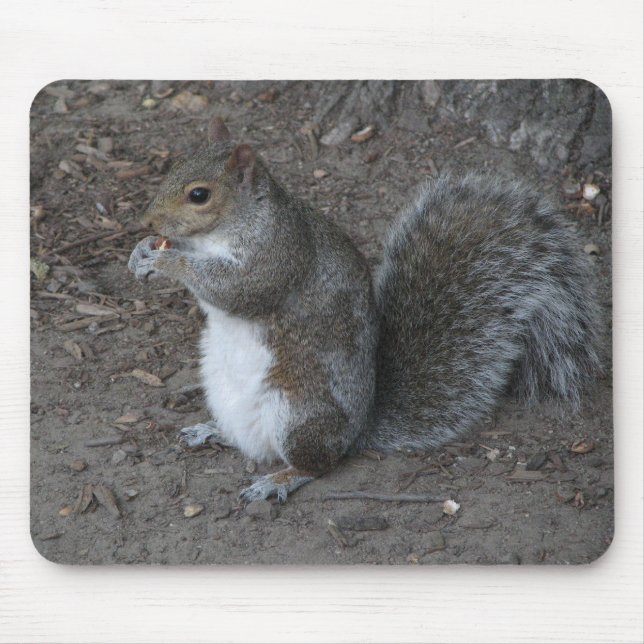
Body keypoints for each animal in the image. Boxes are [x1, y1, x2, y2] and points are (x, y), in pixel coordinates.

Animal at [128, 117, 600, 502]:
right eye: (173, 167)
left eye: (199, 195)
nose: (146, 222)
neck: (224, 231)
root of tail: (357, 432)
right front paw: (142, 253)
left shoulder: (278, 255)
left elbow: (239, 291)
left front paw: (168, 262)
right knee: (253, 444)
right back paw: (213, 431)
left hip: (298, 412)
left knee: (318, 463)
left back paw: (279, 479)